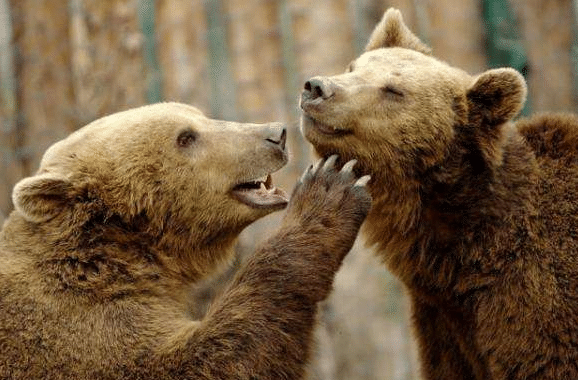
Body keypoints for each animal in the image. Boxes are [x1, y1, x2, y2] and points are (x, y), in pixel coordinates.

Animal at [0, 102, 368, 378]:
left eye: (201, 117)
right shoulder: (81, 328)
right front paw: (330, 187)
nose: (275, 134)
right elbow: (205, 360)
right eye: (186, 137)